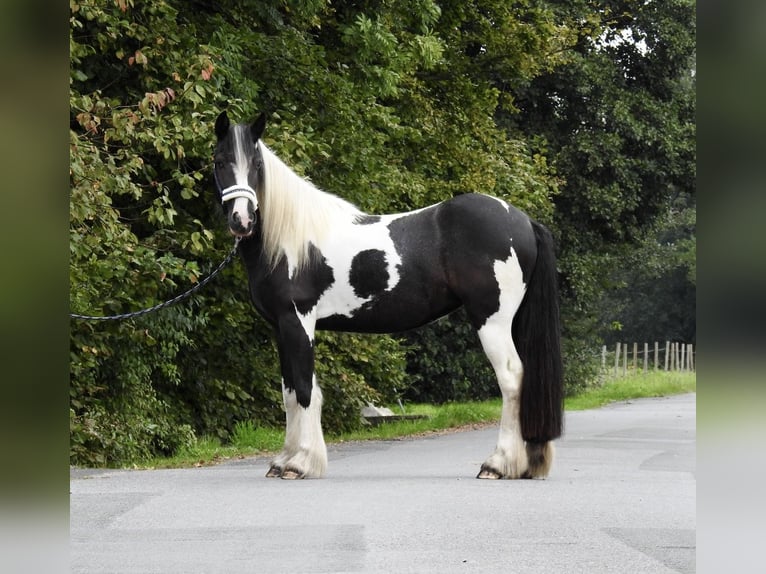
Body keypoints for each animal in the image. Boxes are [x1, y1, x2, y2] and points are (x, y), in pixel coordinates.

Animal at [213, 112, 568, 482]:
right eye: (220, 161)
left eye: (256, 165)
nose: (242, 220)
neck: (292, 240)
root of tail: (524, 221)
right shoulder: (282, 327)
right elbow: (290, 392)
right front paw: (283, 461)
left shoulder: (299, 321)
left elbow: (306, 391)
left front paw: (300, 463)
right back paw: (528, 463)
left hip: (492, 320)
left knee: (512, 379)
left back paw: (497, 464)